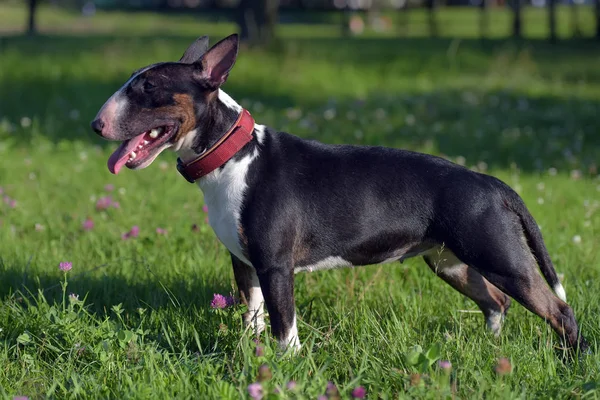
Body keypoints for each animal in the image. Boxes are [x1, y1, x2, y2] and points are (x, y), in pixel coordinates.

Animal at [91, 34, 588, 354]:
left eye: (149, 87)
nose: (96, 124)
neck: (233, 156)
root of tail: (492, 184)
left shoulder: (276, 265)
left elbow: (284, 326)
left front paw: (285, 370)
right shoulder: (244, 263)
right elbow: (254, 315)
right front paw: (249, 353)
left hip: (500, 257)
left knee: (557, 309)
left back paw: (574, 360)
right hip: (450, 261)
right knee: (496, 302)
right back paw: (489, 349)